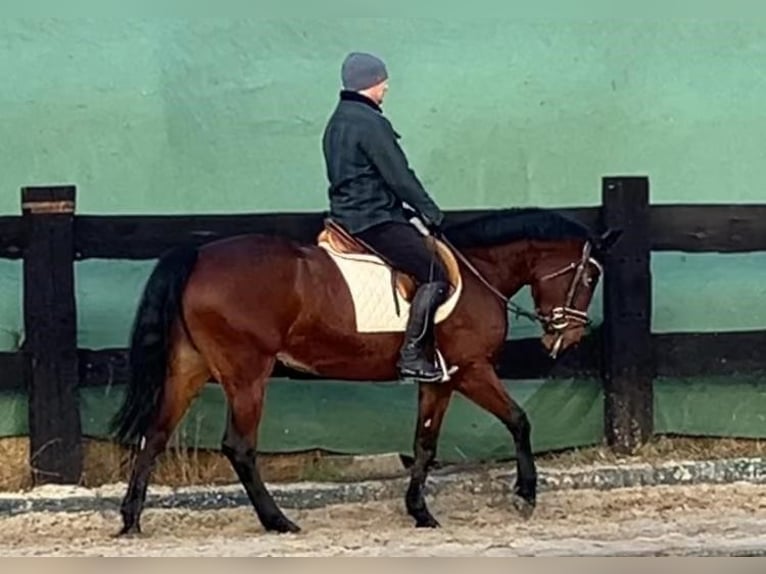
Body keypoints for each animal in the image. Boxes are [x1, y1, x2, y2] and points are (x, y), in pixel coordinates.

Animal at [109, 208, 624, 540]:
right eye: (590, 276)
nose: (567, 338)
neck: (481, 272)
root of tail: (198, 255)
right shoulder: (470, 370)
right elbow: (519, 420)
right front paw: (525, 496)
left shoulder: (439, 379)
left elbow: (425, 442)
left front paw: (420, 513)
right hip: (246, 373)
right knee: (239, 446)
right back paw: (278, 522)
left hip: (189, 367)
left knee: (155, 434)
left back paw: (132, 521)